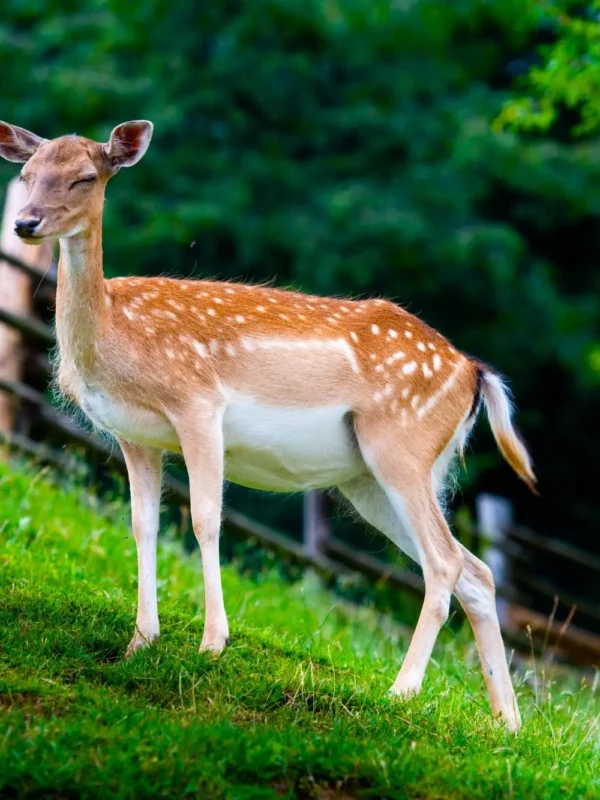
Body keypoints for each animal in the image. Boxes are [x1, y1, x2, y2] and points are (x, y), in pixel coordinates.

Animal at [0, 119, 535, 732]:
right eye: (26, 173)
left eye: (86, 177)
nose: (25, 223)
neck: (118, 337)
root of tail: (474, 373)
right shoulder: (134, 436)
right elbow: (143, 525)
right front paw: (140, 642)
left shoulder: (198, 404)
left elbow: (205, 519)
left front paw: (211, 643)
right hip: (370, 478)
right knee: (475, 570)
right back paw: (507, 725)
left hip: (402, 445)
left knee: (444, 564)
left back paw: (402, 692)